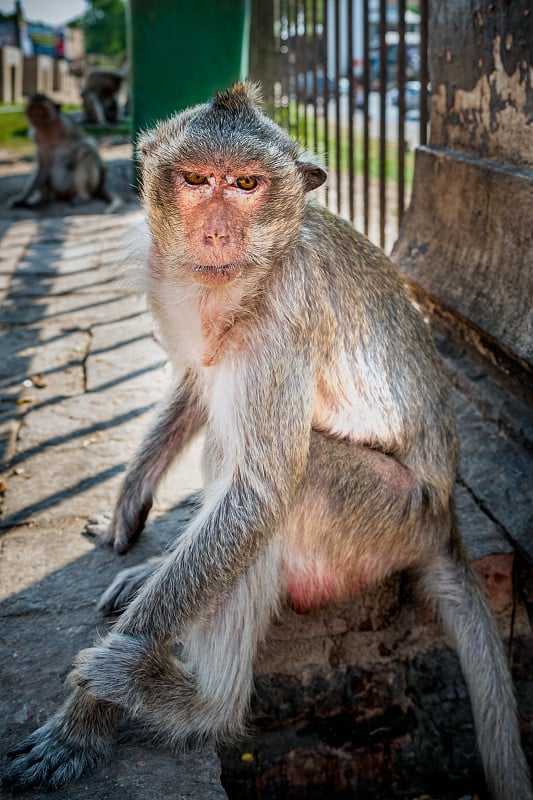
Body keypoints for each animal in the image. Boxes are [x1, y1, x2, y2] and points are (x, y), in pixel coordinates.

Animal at [2, 83, 528, 800]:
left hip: (391, 519)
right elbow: (196, 384)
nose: (216, 231)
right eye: (198, 180)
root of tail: (446, 518)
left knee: (288, 487)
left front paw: (82, 723)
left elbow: (258, 498)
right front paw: (130, 503)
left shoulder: (287, 310)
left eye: (247, 184)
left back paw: (198, 707)